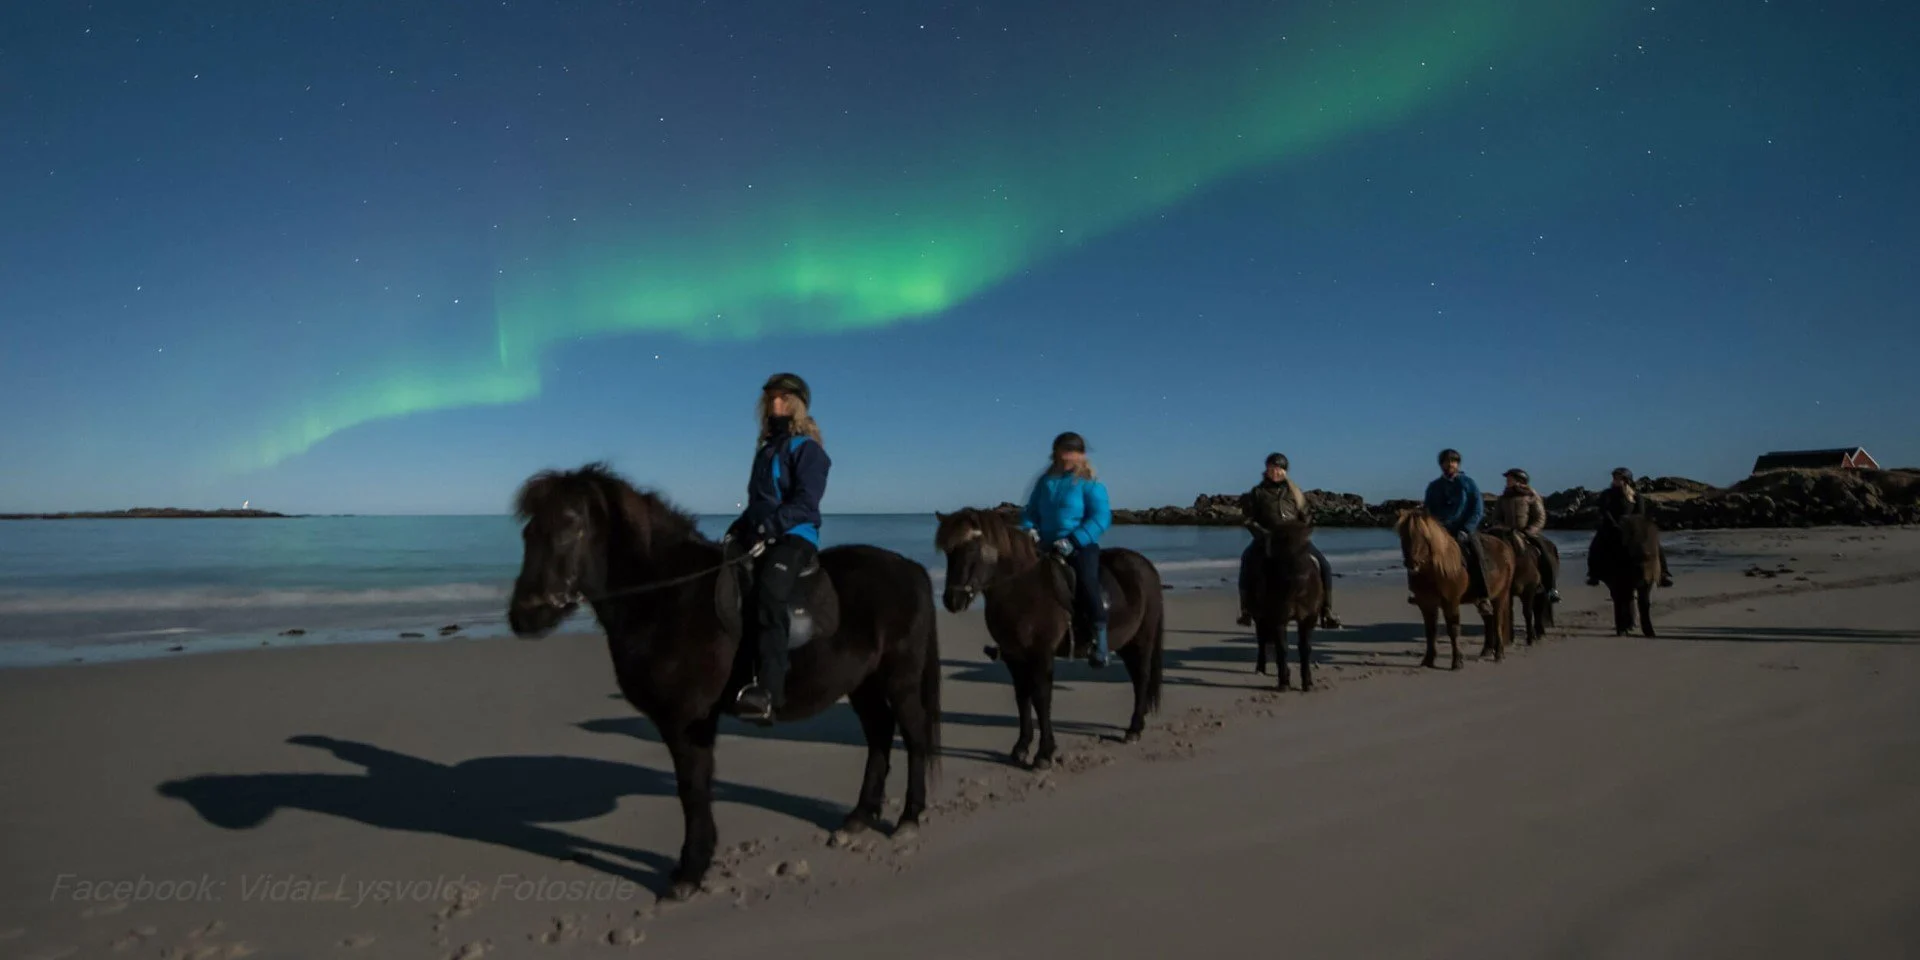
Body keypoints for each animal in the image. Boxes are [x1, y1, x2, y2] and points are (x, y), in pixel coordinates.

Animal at [503, 464, 936, 898]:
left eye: (569, 526)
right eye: (527, 532)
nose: (523, 615)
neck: (669, 597)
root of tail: (911, 568)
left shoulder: (687, 721)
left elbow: (692, 789)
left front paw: (690, 871)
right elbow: (696, 788)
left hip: (899, 678)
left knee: (913, 736)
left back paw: (909, 819)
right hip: (863, 683)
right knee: (879, 735)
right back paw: (860, 816)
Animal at [933, 506, 1159, 768]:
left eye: (971, 549)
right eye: (948, 552)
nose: (952, 600)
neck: (1021, 589)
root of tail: (1145, 565)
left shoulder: (1041, 655)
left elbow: (1041, 699)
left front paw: (1044, 753)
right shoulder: (1014, 656)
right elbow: (1022, 697)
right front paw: (1021, 747)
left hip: (1142, 640)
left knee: (1142, 677)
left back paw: (1134, 729)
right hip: (1126, 643)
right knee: (1137, 678)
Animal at [1244, 526, 1320, 691]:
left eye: (1306, 547)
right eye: (1283, 549)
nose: (1301, 577)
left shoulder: (1309, 617)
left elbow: (1305, 647)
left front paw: (1307, 682)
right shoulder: (1278, 618)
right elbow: (1282, 648)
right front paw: (1284, 681)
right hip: (1260, 616)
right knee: (1262, 640)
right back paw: (1261, 668)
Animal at [1397, 510, 1512, 668]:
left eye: (1424, 536)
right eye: (1402, 535)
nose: (1411, 563)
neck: (1435, 570)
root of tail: (1505, 547)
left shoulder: (1451, 603)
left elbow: (1453, 629)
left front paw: (1457, 661)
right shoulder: (1426, 604)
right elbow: (1430, 631)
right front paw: (1428, 660)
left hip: (1501, 595)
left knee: (1498, 622)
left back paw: (1499, 654)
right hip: (1480, 599)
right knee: (1489, 620)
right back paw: (1487, 651)